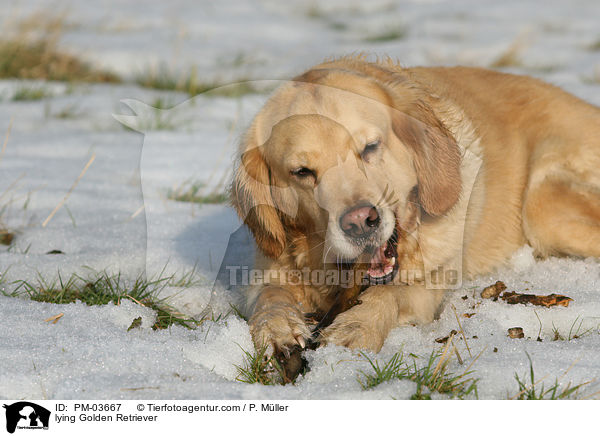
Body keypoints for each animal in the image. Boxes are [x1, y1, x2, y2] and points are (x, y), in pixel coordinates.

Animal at [230, 56, 600, 358]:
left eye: (370, 147)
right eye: (302, 172)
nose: (360, 222)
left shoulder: (428, 287)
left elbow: (390, 293)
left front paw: (357, 327)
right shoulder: (269, 269)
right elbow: (271, 298)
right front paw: (276, 330)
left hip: (543, 203)